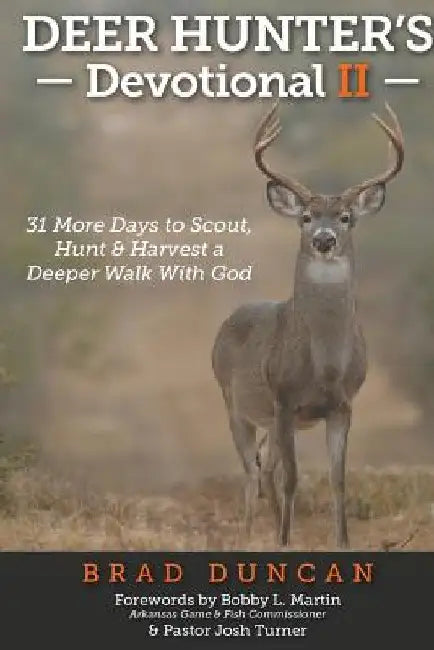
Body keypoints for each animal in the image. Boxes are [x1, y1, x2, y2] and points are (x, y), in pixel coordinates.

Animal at [211, 101, 404, 548]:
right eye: (305, 216)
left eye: (346, 217)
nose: (324, 239)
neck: (325, 367)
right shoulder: (284, 398)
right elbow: (293, 479)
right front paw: (283, 541)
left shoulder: (343, 405)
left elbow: (337, 480)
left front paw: (342, 542)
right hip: (235, 402)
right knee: (252, 473)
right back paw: (251, 536)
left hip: (277, 421)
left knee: (264, 469)